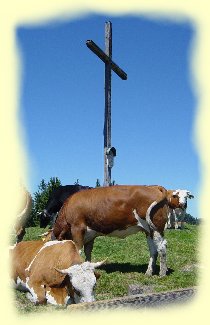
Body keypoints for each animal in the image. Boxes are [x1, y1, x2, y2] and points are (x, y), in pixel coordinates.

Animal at [50, 184, 185, 278]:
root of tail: (154, 186)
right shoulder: (90, 234)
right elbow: (88, 252)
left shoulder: (77, 228)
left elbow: (78, 251)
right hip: (149, 230)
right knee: (153, 250)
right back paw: (148, 272)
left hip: (156, 228)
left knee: (162, 247)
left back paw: (162, 273)